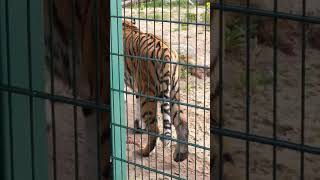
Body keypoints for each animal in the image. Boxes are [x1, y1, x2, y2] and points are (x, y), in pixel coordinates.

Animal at [122, 19, 188, 162]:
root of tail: (166, 52)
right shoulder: (138, 87)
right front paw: (138, 126)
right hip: (173, 91)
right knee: (181, 122)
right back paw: (180, 155)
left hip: (149, 94)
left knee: (155, 129)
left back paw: (144, 152)